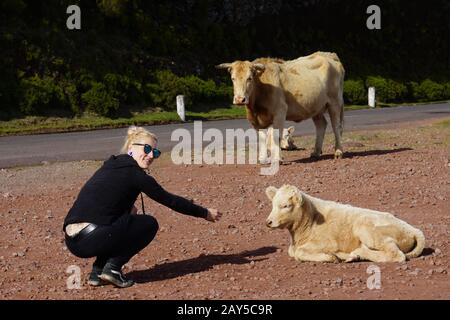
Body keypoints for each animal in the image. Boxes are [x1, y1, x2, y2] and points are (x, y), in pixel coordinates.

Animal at [266, 185, 428, 262]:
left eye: (286, 205)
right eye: (272, 204)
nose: (269, 222)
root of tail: (413, 229)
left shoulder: (327, 242)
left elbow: (299, 252)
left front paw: (330, 257)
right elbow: (292, 251)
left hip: (368, 230)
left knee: (396, 255)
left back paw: (357, 253)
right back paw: (353, 256)